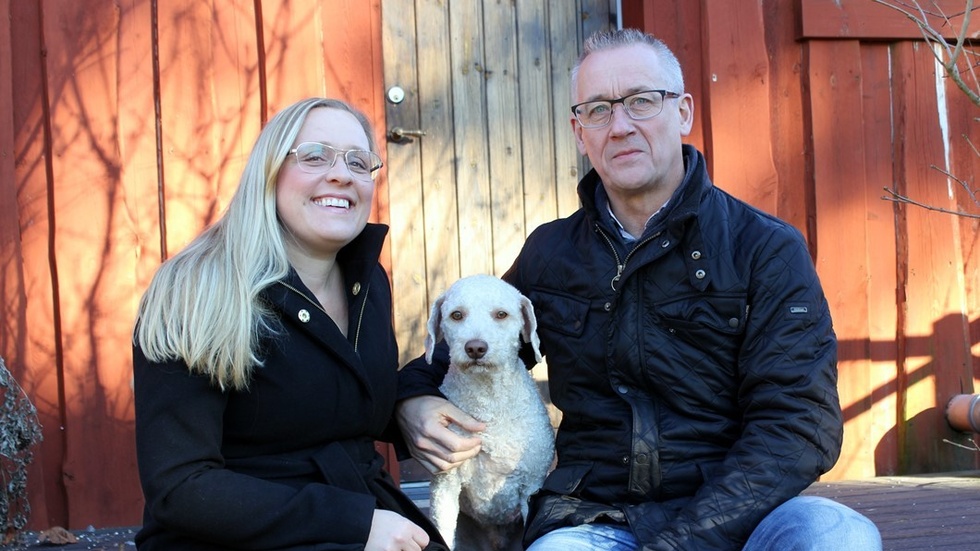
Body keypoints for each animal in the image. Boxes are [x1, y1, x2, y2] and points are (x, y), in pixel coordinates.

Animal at [424, 276, 556, 551]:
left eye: (501, 314)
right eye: (456, 315)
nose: (475, 348)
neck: (489, 407)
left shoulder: (531, 486)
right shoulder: (445, 486)